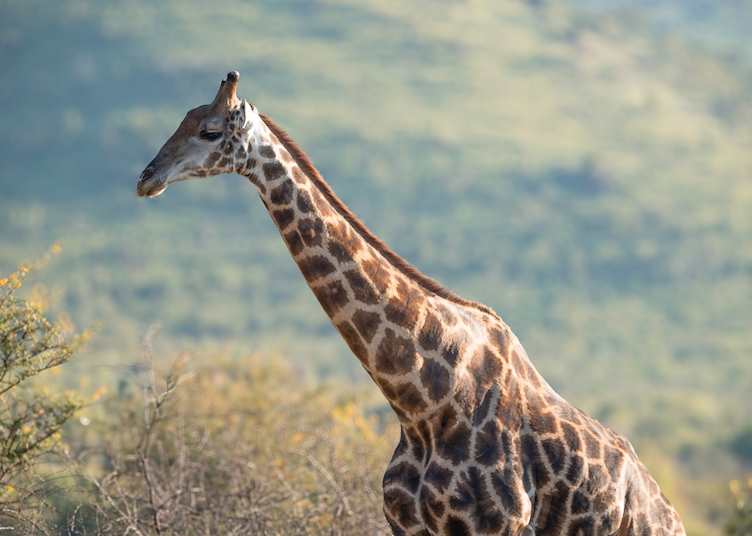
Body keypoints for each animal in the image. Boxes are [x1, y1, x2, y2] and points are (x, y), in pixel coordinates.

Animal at [136, 72, 686, 536]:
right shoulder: (409, 525)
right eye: (181, 120)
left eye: (209, 131)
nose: (147, 177)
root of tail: (667, 511)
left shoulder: (498, 526)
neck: (421, 400)